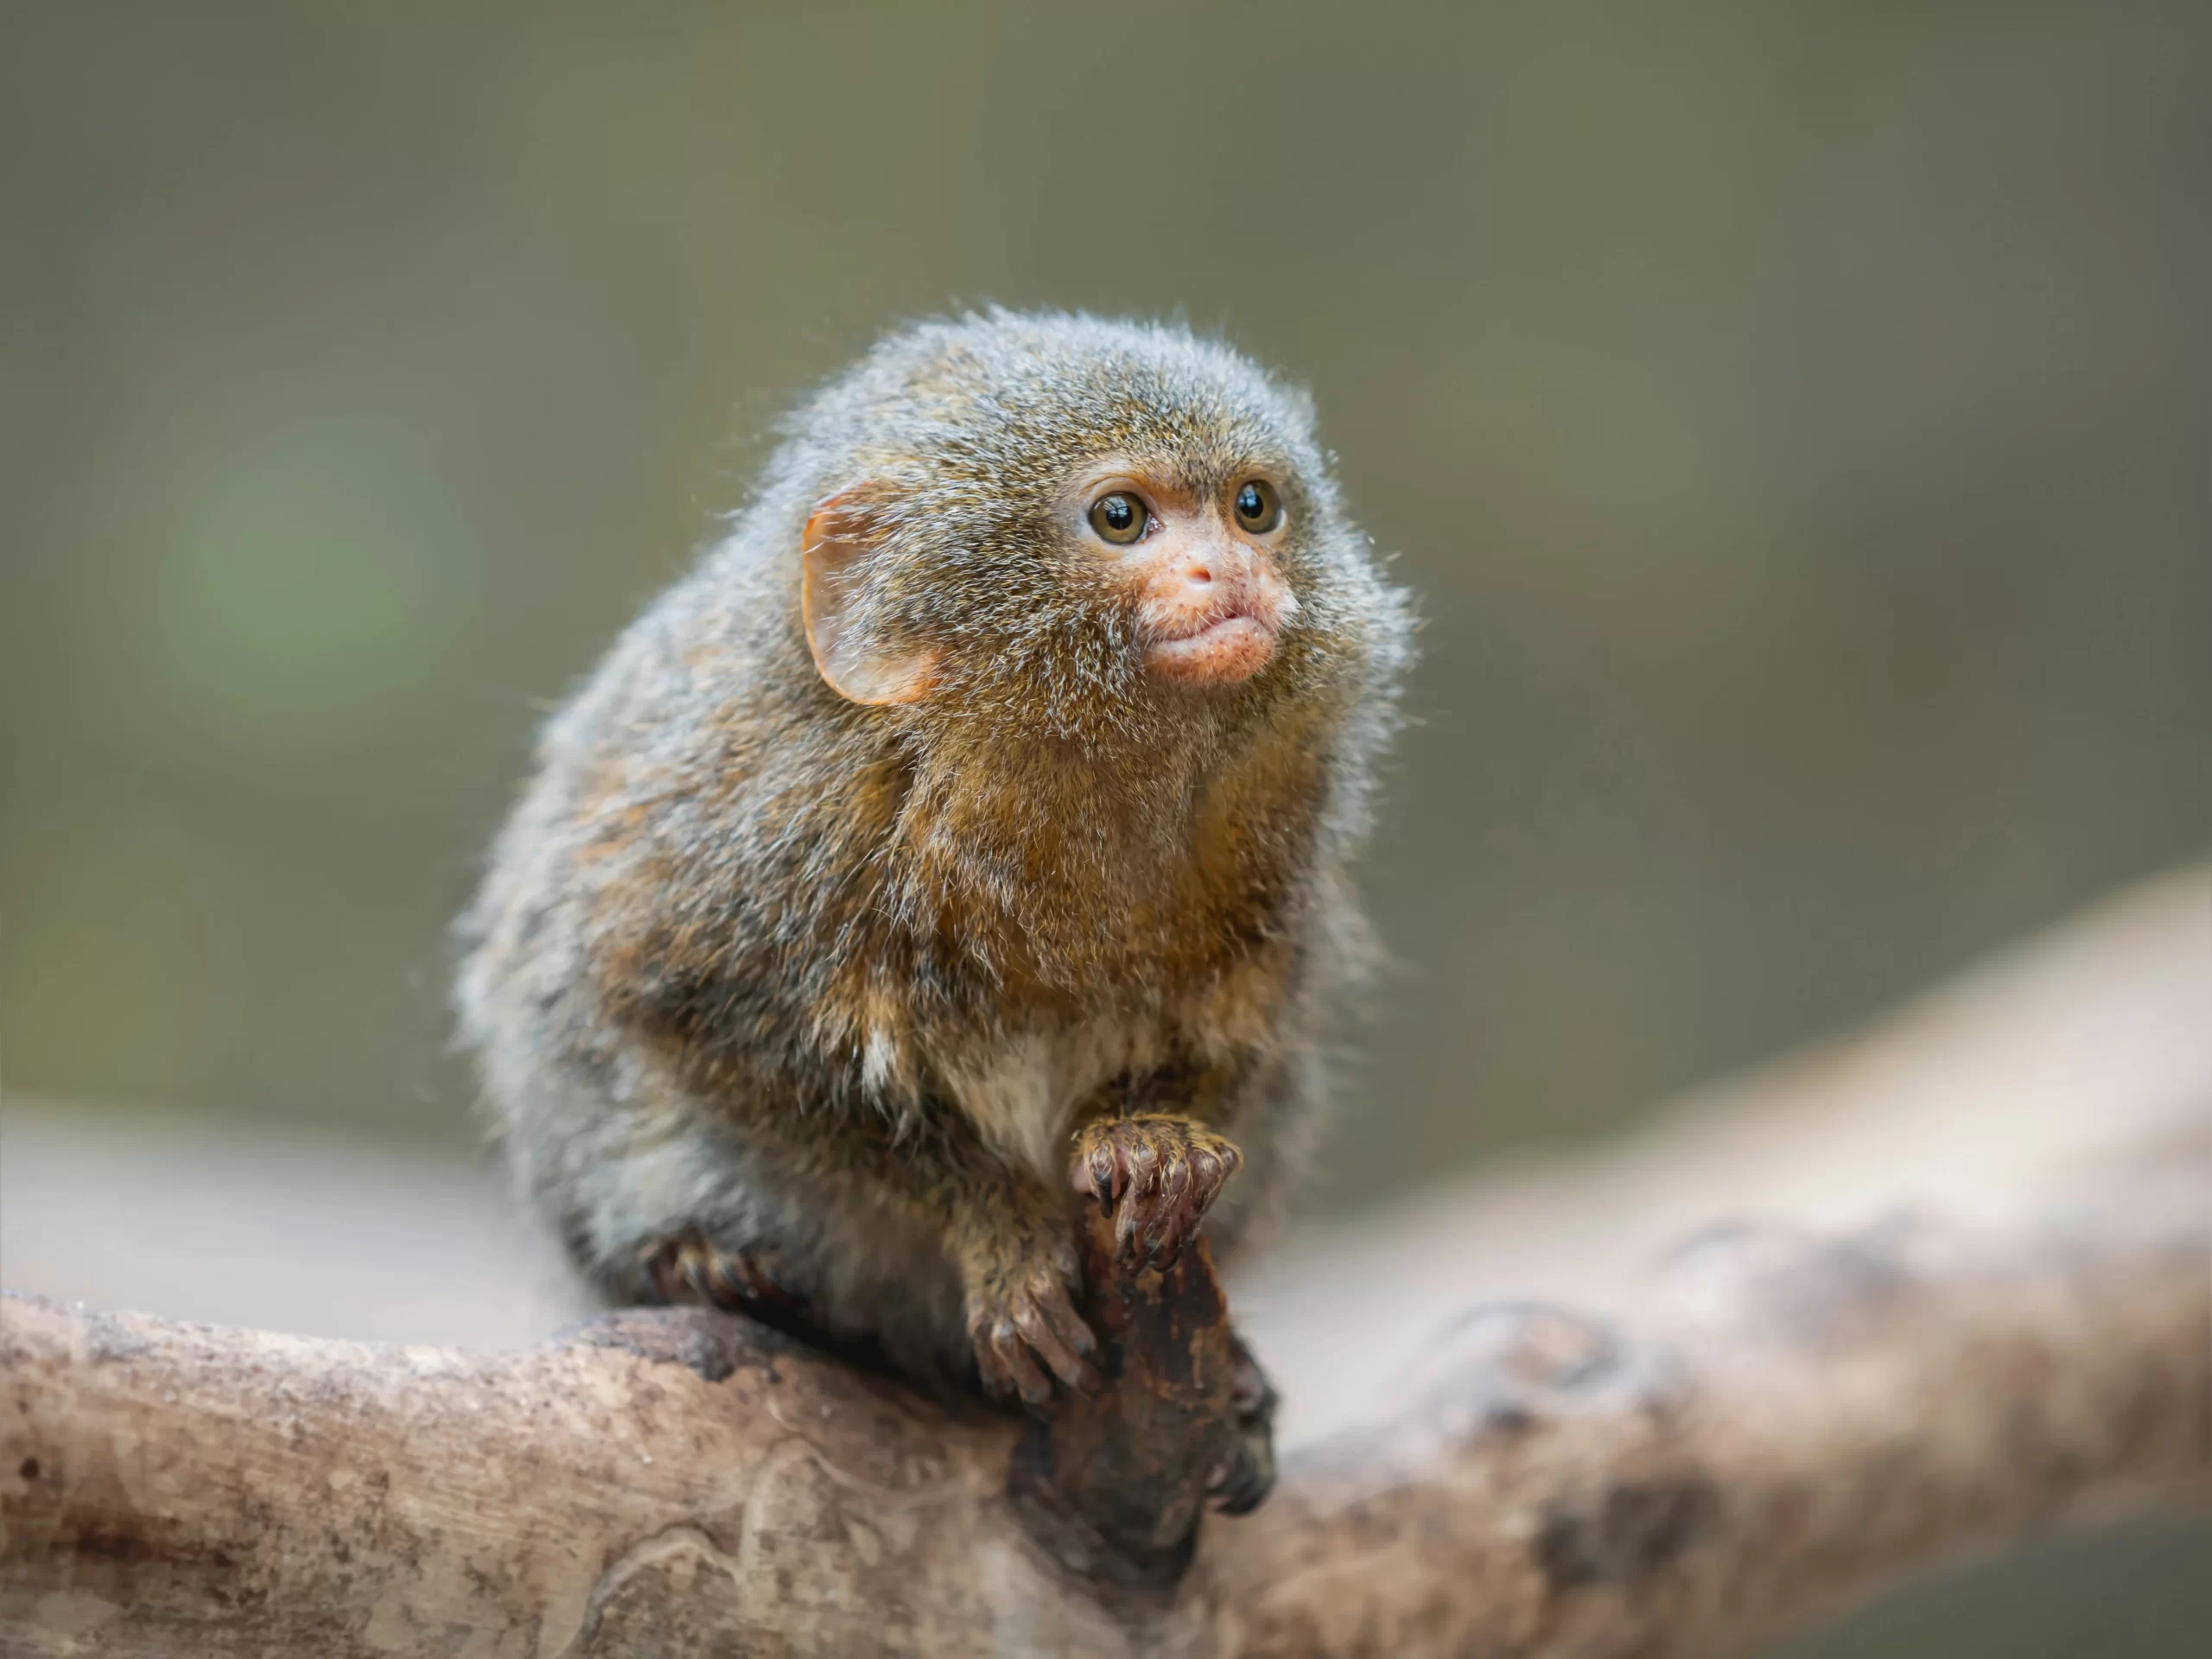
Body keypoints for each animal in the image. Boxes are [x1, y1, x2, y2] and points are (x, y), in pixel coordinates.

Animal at [454, 308, 1413, 1514]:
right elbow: (699, 1024)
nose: (1230, 571)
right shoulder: (755, 838)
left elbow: (1240, 1042)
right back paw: (711, 1267)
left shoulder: (1279, 840)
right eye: (1120, 518)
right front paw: (997, 1230)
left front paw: (1153, 1141)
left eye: (1253, 507)